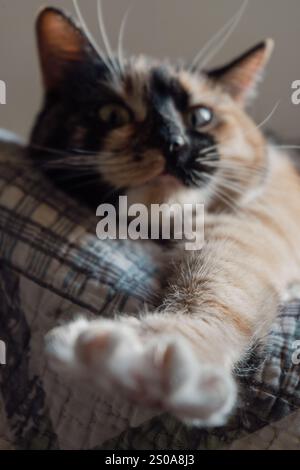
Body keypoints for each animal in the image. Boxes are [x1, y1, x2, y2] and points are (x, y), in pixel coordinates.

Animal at [28, 7, 300, 428]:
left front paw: (148, 357)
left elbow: (217, 290)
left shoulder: (250, 224)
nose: (173, 143)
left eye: (200, 116)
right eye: (112, 113)